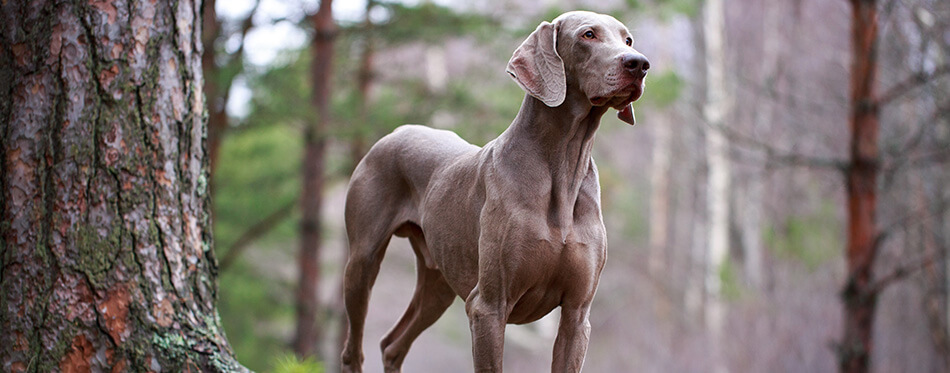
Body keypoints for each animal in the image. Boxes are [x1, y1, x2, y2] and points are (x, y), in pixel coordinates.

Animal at [340, 10, 648, 370]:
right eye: (588, 35)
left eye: (628, 39)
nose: (640, 64)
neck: (563, 168)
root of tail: (397, 131)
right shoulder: (488, 306)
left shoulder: (577, 314)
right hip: (362, 263)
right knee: (353, 348)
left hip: (439, 282)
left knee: (392, 344)